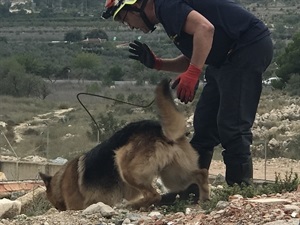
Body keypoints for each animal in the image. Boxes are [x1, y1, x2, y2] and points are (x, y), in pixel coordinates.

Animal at [39, 78, 209, 210]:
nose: (57, 208)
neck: (60, 181)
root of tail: (159, 129)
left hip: (125, 165)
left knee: (154, 195)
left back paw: (130, 205)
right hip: (173, 177)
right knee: (200, 173)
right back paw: (204, 200)